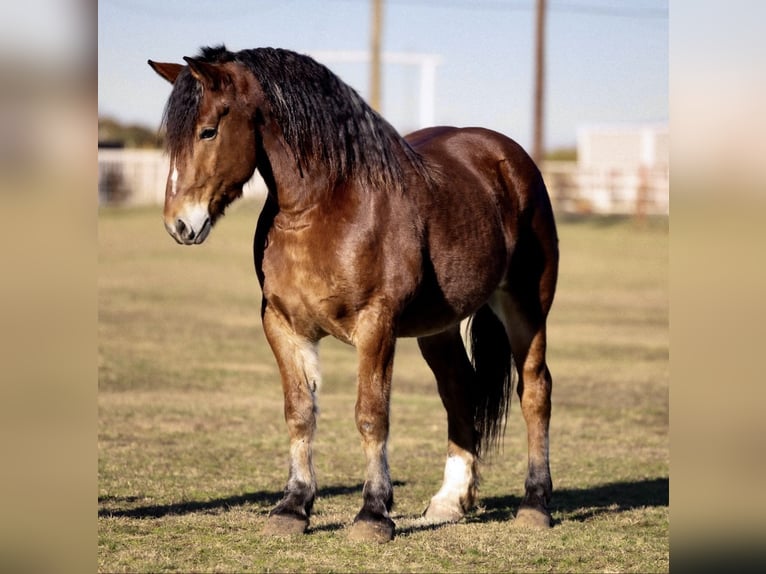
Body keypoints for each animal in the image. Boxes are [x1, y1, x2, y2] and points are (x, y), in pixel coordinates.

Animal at [148, 45, 560, 544]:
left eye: (208, 130)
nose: (178, 224)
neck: (326, 205)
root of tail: (507, 156)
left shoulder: (376, 325)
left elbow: (371, 415)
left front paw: (373, 513)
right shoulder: (283, 325)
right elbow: (299, 412)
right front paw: (293, 507)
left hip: (526, 306)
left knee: (535, 390)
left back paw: (535, 503)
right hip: (437, 327)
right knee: (459, 389)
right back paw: (449, 501)